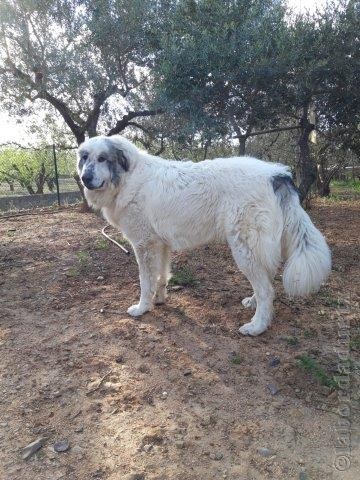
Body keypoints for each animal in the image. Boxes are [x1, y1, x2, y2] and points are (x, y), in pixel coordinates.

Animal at [77, 135, 330, 336]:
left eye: (102, 159)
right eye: (85, 157)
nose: (84, 178)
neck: (128, 178)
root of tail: (276, 175)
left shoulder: (144, 245)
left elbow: (145, 281)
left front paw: (142, 308)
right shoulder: (160, 244)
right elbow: (161, 276)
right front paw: (159, 299)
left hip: (244, 249)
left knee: (267, 290)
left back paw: (257, 326)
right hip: (253, 249)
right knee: (266, 280)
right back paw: (252, 302)